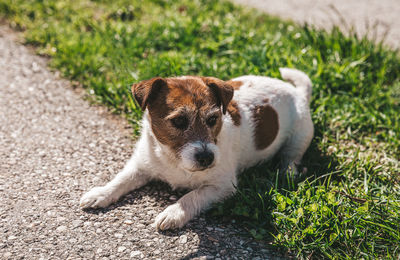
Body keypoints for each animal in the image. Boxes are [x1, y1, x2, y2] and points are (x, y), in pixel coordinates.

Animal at [79, 68, 314, 231]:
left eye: (212, 119)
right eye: (179, 121)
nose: (207, 158)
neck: (173, 159)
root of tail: (297, 92)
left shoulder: (223, 186)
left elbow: (194, 195)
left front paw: (174, 212)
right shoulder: (141, 166)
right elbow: (121, 179)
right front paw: (101, 193)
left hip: (300, 136)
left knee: (292, 157)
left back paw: (287, 173)